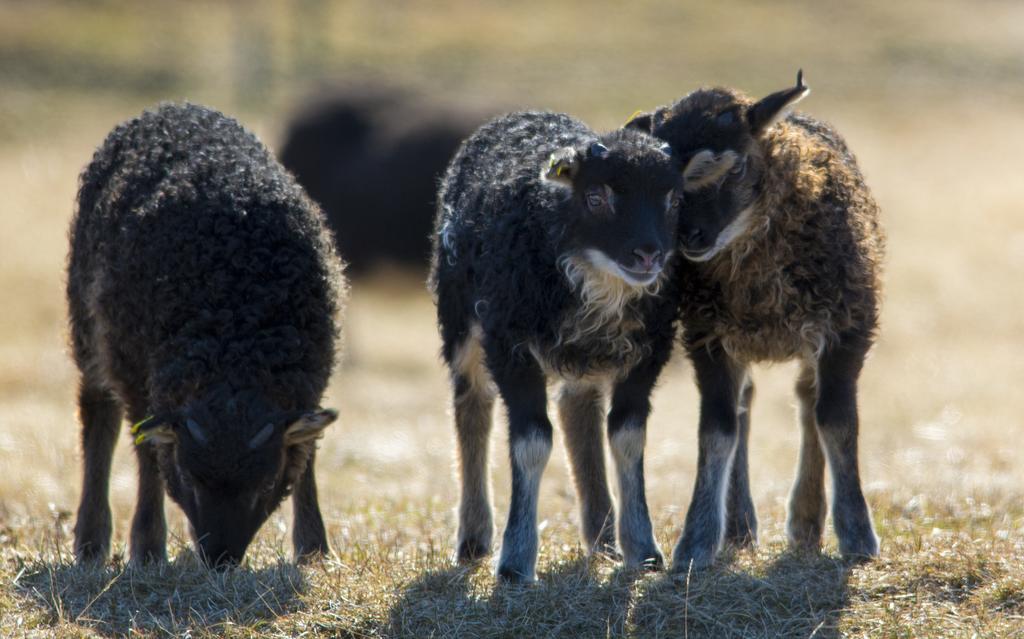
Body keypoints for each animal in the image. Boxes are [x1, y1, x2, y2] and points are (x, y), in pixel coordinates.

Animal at [69, 102, 348, 565]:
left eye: (266, 483)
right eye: (189, 477)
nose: (220, 559)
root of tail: (175, 107)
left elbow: (306, 451)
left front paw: (314, 549)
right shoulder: (136, 369)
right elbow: (148, 454)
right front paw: (147, 547)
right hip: (89, 327)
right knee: (98, 419)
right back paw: (91, 540)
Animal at [428, 111, 684, 585]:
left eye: (673, 199)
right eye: (596, 197)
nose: (648, 255)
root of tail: (519, 114)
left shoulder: (649, 352)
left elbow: (627, 436)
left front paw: (643, 549)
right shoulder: (510, 345)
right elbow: (531, 442)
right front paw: (514, 561)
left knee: (576, 410)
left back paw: (602, 536)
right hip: (460, 321)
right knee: (471, 407)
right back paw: (473, 537)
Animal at [626, 71, 884, 569]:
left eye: (737, 168)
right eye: (664, 185)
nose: (691, 237)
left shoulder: (847, 326)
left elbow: (837, 421)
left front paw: (858, 536)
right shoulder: (707, 336)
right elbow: (717, 431)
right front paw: (696, 541)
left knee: (808, 402)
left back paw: (805, 522)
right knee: (745, 406)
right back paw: (741, 527)